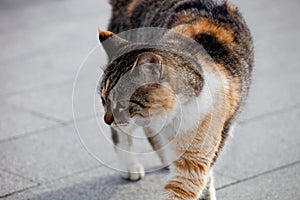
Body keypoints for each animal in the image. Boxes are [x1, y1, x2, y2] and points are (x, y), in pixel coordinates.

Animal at [98, 0, 253, 200]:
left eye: (122, 103)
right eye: (103, 100)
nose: (106, 120)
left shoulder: (207, 140)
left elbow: (200, 173)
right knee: (123, 134)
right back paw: (130, 166)